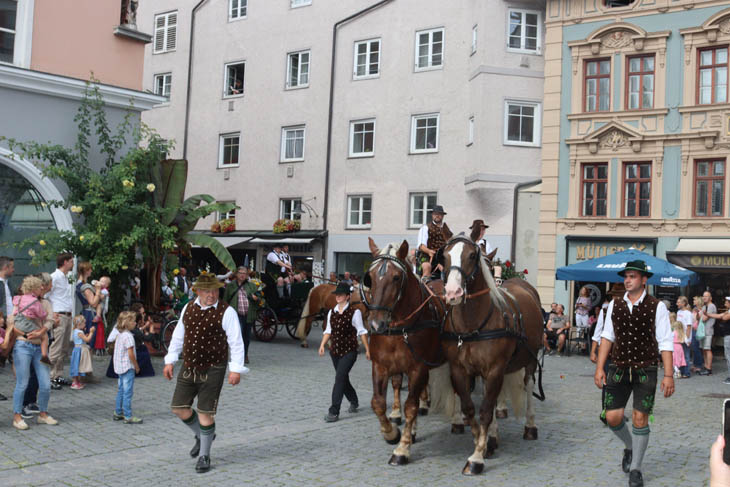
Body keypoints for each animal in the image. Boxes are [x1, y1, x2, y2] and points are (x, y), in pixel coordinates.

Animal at [362, 238, 464, 468]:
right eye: (370, 278)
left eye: (396, 277)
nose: (375, 324)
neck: (399, 328)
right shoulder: (380, 366)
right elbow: (378, 403)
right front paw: (391, 433)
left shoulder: (417, 368)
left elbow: (410, 406)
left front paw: (402, 449)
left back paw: (457, 419)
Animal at [436, 230, 544, 476]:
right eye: (444, 255)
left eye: (472, 255)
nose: (453, 293)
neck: (473, 324)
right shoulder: (460, 370)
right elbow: (470, 408)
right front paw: (483, 441)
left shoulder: (495, 369)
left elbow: (485, 410)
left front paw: (476, 457)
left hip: (530, 359)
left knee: (529, 385)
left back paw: (530, 426)